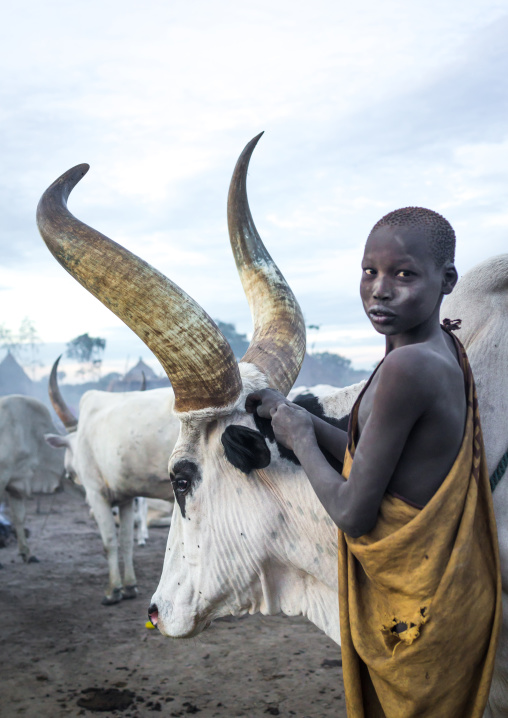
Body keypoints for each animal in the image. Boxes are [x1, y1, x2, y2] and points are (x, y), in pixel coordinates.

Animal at [45, 360, 178, 604]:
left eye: (68, 448)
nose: (69, 474)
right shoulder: (126, 499)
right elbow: (126, 541)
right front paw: (130, 587)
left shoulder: (97, 495)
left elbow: (109, 542)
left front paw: (113, 590)